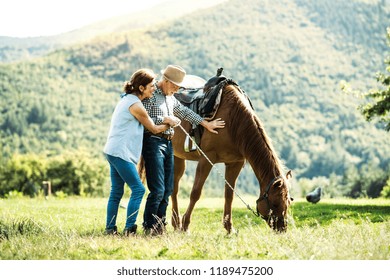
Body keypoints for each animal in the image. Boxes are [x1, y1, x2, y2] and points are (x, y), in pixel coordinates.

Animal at [171, 82, 292, 233]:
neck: (233, 121)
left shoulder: (235, 163)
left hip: (177, 157)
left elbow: (229, 195)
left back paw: (175, 223)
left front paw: (229, 228)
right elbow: (195, 193)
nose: (282, 228)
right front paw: (186, 226)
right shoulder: (206, 159)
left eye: (288, 202)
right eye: (275, 203)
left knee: (174, 187)